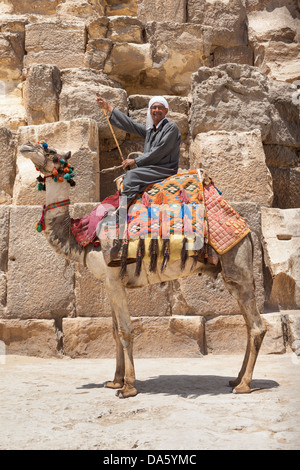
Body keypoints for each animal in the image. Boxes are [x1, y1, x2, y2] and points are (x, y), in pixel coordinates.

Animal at [19, 141, 266, 398]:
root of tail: (249, 231)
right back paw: (236, 379)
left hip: (237, 260)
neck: (82, 235)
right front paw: (115, 381)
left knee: (257, 326)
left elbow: (125, 330)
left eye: (50, 152)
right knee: (248, 324)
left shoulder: (114, 279)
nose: (25, 146)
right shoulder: (109, 282)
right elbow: (114, 330)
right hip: (232, 273)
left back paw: (244, 385)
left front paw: (128, 387)